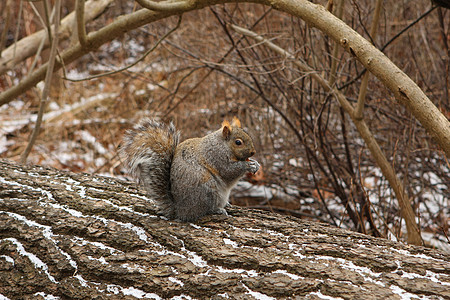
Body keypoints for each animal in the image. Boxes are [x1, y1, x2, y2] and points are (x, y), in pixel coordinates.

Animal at [120, 118, 260, 223]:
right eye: (238, 142)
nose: (253, 152)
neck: (223, 145)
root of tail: (180, 210)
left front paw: (256, 164)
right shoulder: (216, 156)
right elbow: (229, 171)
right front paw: (248, 166)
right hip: (207, 189)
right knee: (204, 210)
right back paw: (217, 210)